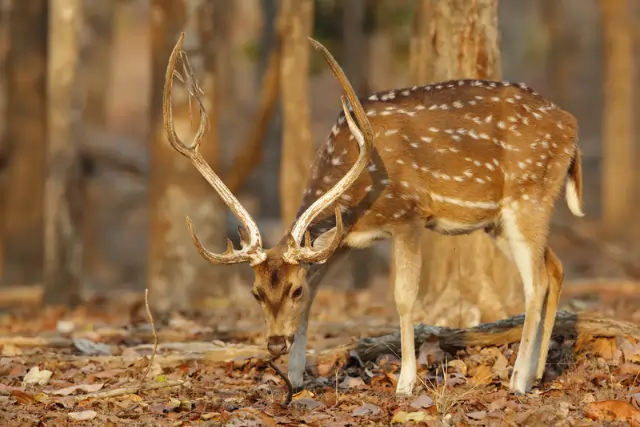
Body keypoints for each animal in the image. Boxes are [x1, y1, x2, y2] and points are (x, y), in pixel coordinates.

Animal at [163, 33, 584, 398]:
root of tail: (572, 126)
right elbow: (317, 296)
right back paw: (539, 372)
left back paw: (518, 380)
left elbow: (404, 298)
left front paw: (406, 383)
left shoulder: (409, 216)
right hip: (497, 221)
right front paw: (296, 377)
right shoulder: (343, 240)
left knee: (536, 282)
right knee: (555, 267)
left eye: (292, 289)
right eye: (256, 292)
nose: (275, 344)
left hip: (529, 193)